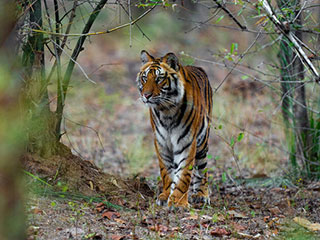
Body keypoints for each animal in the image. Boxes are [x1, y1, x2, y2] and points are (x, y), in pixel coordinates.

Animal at [136, 49, 212, 207]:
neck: (166, 110)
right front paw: (166, 196)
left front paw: (178, 202)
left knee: (202, 169)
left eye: (159, 79)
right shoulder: (161, 143)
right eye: (145, 78)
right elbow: (166, 172)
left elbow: (184, 174)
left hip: (202, 142)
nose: (146, 95)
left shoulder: (187, 142)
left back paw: (201, 195)